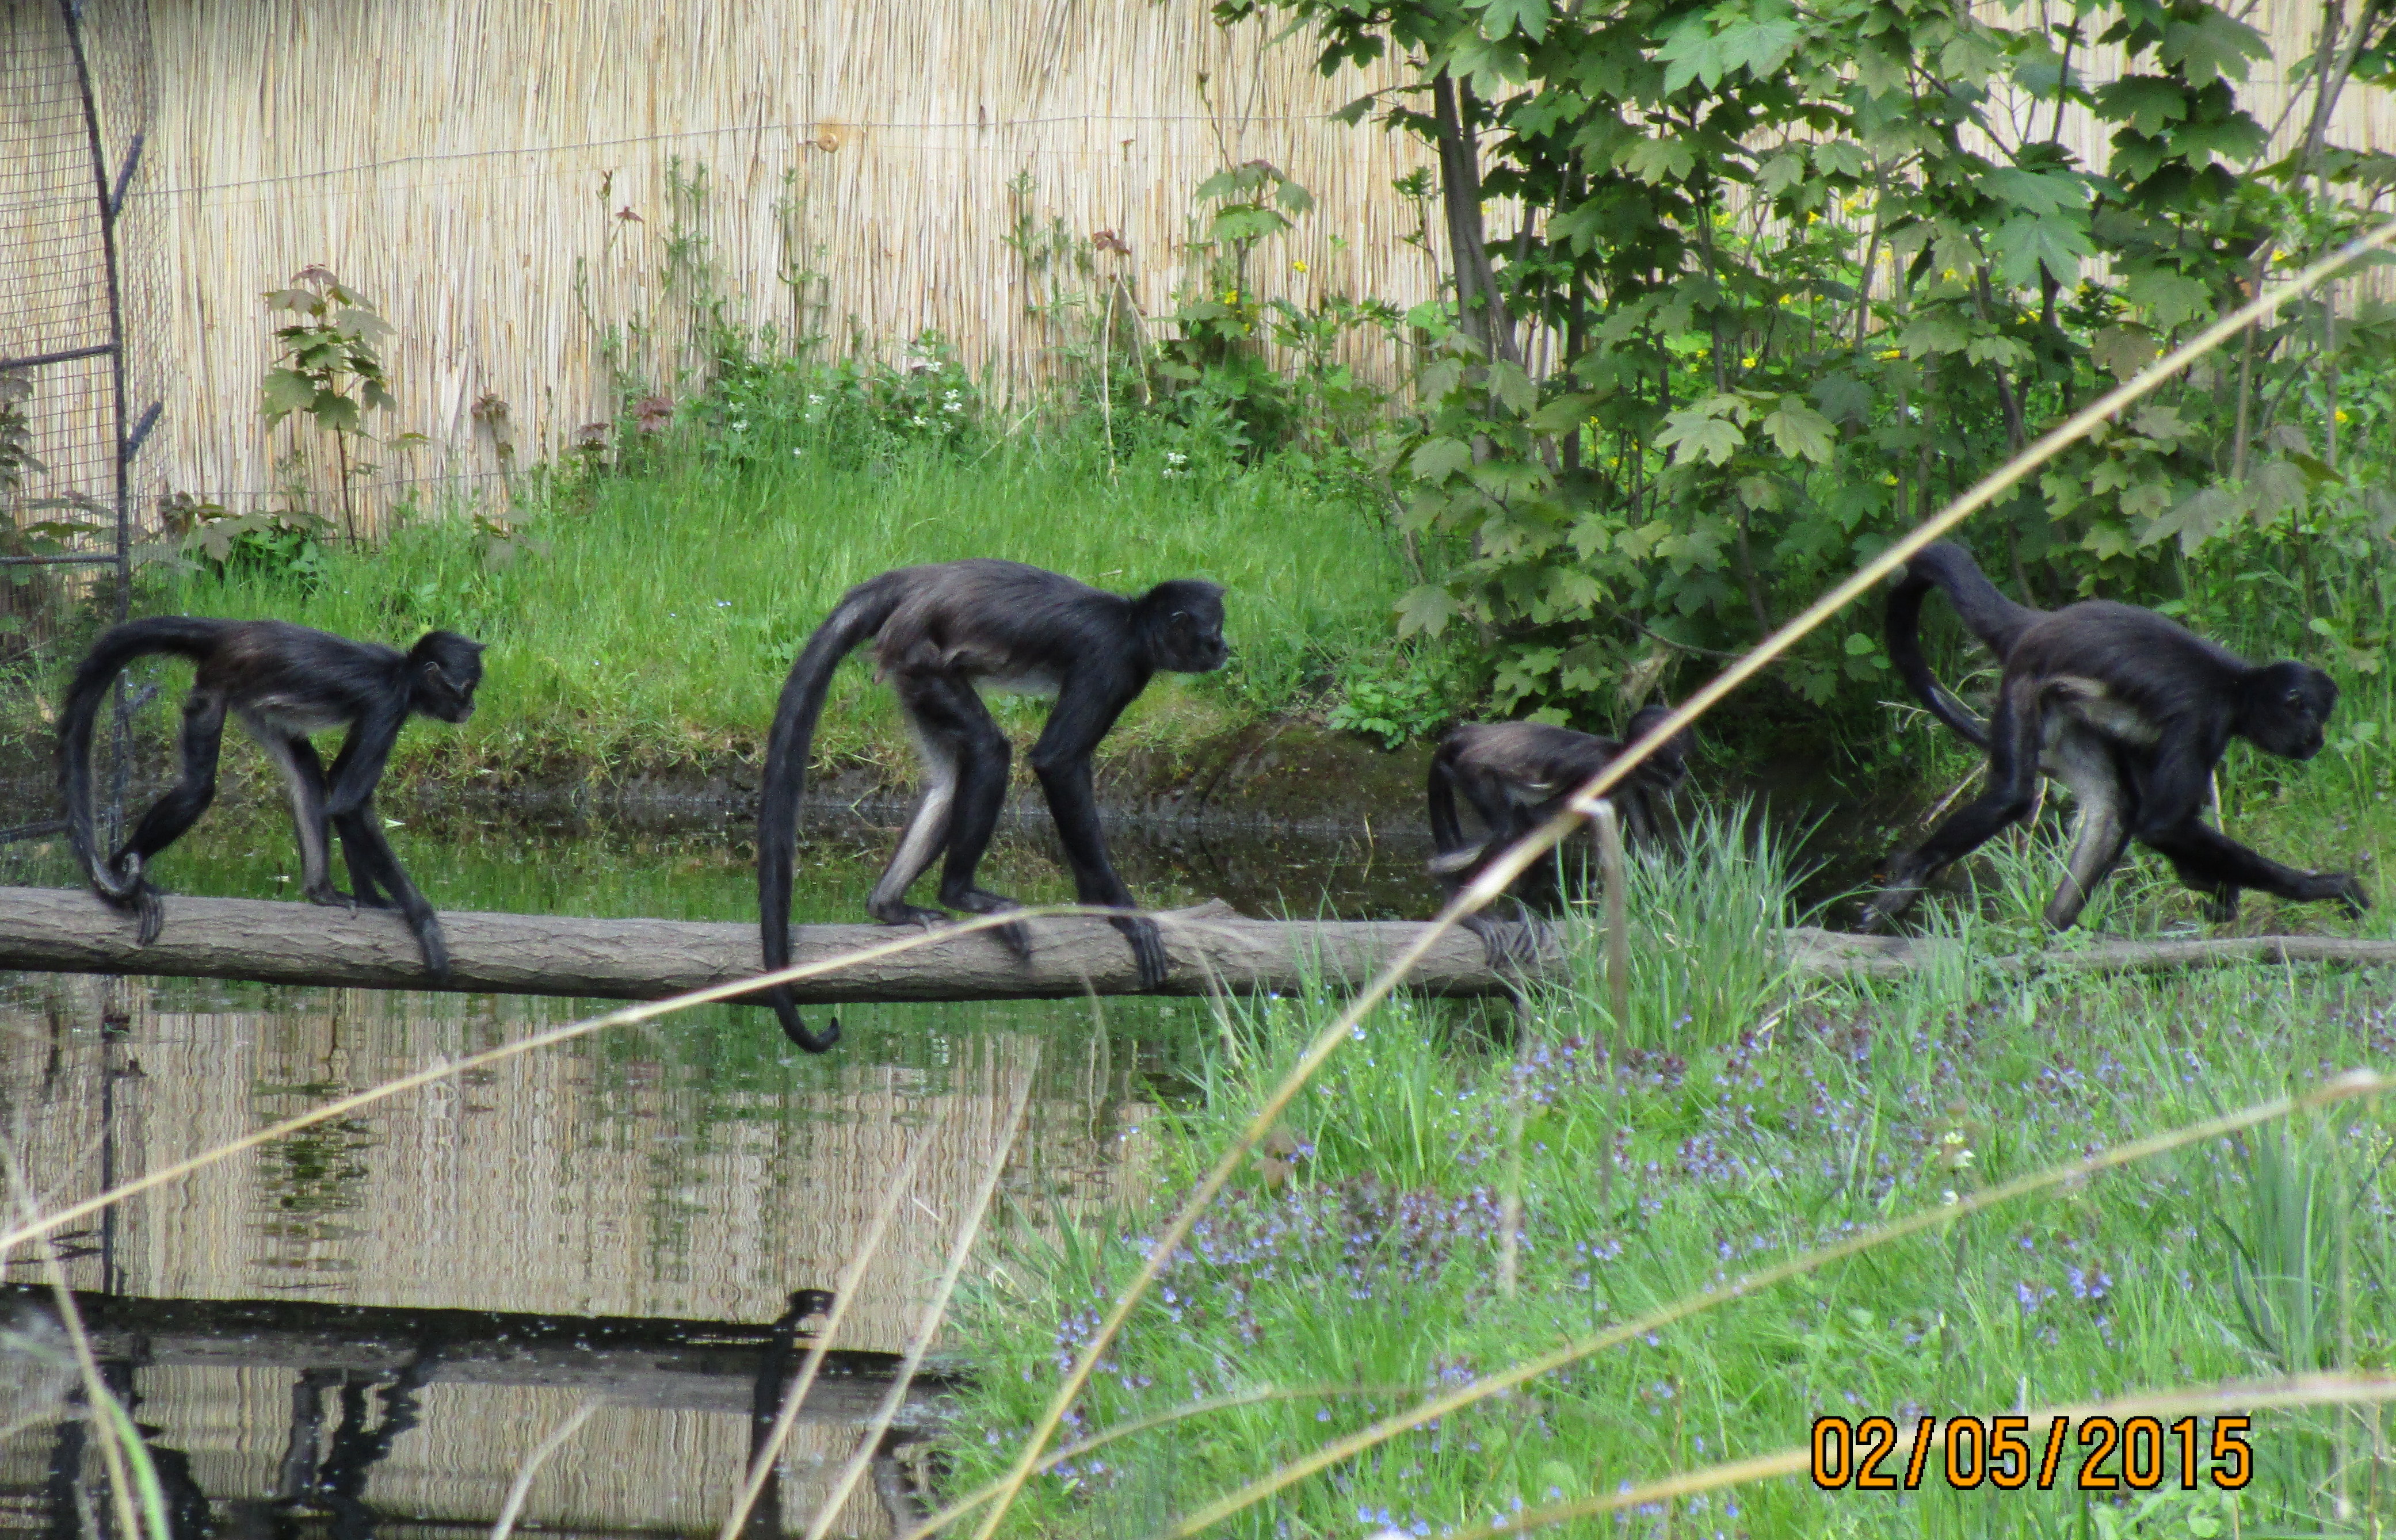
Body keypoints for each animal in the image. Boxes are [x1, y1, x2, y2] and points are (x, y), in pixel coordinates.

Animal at [60, 618, 486, 972]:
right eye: (466, 689)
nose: (472, 706)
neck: (399, 672)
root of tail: (234, 631)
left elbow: (338, 784)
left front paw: (372, 898)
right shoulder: (388, 706)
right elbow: (350, 805)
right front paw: (423, 921)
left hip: (252, 701)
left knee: (308, 772)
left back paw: (321, 892)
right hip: (214, 687)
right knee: (198, 790)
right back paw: (124, 876)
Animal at [757, 560, 1226, 1053]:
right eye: (1214, 633)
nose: (1227, 649)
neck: (1131, 623)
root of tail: (923, 579)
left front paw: (1094, 901)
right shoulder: (1112, 663)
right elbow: (1058, 761)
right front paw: (1122, 913)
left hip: (910, 672)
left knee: (949, 783)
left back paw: (889, 906)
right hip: (922, 658)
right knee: (988, 750)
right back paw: (960, 893)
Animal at [1428, 709, 1696, 953]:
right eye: (1677, 754)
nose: (1683, 769)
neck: (1621, 755)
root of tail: (1469, 733)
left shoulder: (1631, 783)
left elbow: (1647, 850)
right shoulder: (1599, 771)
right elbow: (1538, 818)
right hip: (1474, 772)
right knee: (1511, 830)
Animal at [1868, 541, 2357, 929]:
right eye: (2315, 721)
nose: (2319, 741)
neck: (2237, 686)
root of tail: (2037, 623)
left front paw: (2209, 885)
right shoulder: (2202, 720)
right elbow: (2163, 826)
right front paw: (2319, 887)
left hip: (2065, 707)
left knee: (2111, 806)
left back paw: (2053, 930)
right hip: (2024, 685)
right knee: (2012, 794)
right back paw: (1917, 871)